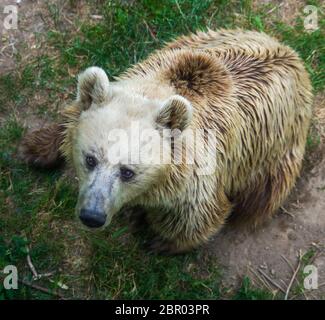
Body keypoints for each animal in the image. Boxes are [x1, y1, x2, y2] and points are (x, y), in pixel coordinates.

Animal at [19, 30, 312, 255]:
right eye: (90, 159)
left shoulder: (198, 174)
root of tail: (293, 56)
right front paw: (36, 148)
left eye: (127, 171)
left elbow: (199, 216)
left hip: (275, 155)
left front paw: (159, 241)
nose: (92, 216)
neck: (158, 92)